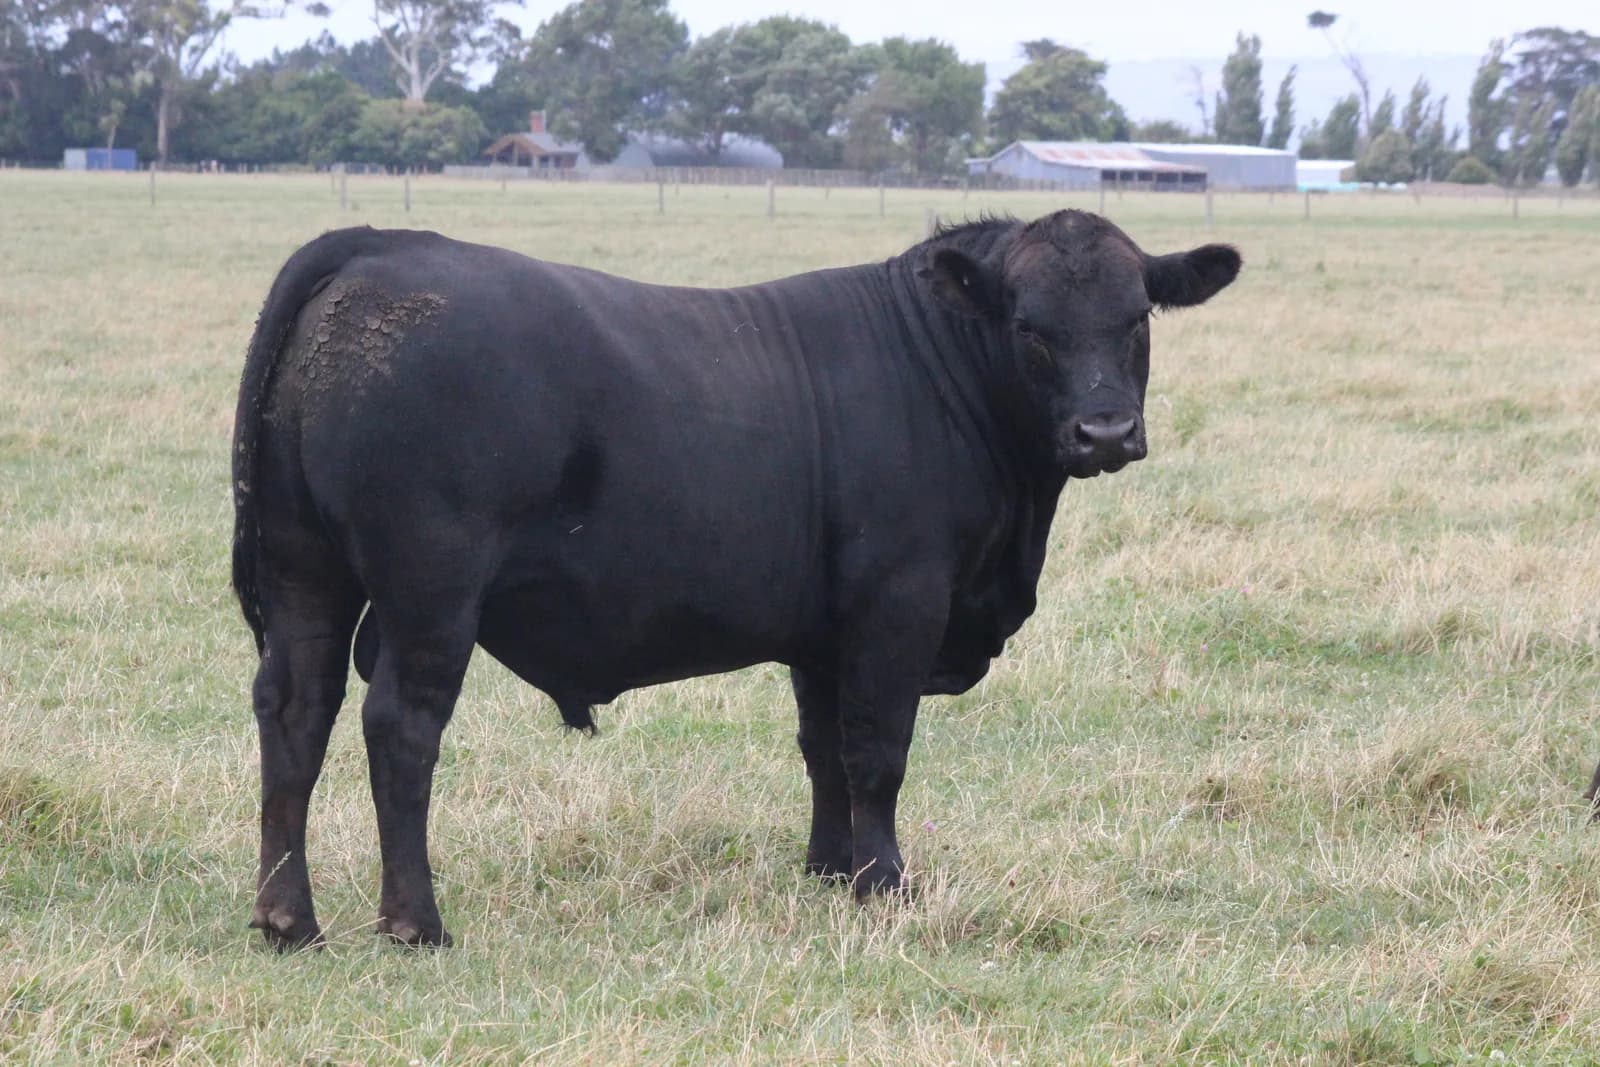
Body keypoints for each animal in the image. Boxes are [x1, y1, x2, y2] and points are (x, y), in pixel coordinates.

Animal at [233, 210, 1240, 949]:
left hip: (305, 575)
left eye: (1137, 319)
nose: (1105, 431)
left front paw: (831, 870)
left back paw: (288, 917)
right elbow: (878, 752)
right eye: (1029, 327)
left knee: (296, 713)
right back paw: (416, 921)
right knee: (399, 728)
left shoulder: (823, 631)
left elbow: (824, 749)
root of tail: (380, 243)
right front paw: (885, 885)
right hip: (430, 592)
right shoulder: (899, 604)